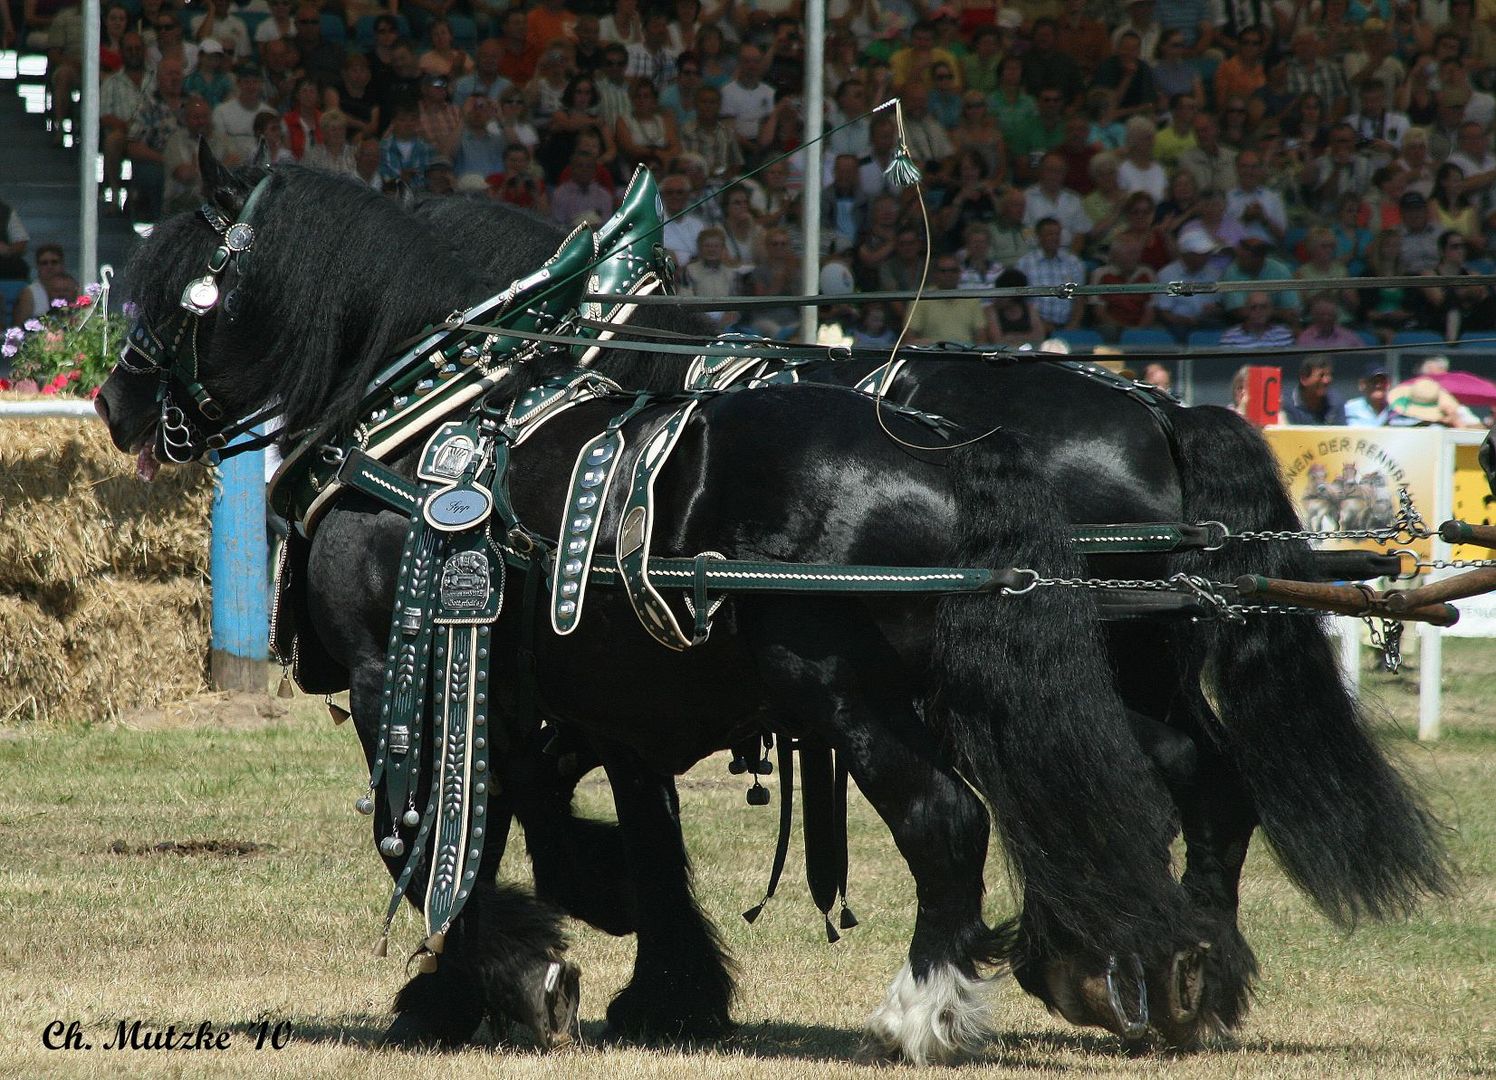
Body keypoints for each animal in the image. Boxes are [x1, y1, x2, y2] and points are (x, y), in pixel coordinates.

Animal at [409, 189, 1448, 1041]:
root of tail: (1159, 409)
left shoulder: (611, 687)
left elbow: (536, 798)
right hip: (1138, 663)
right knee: (1199, 785)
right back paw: (1173, 972)